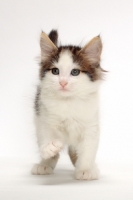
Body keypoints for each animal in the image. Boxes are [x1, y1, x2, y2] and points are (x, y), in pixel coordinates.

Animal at [31, 30, 104, 181]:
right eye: (55, 71)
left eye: (75, 72)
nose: (63, 82)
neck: (67, 102)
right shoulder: (44, 118)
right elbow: (45, 138)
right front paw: (50, 149)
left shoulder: (90, 126)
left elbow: (88, 150)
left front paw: (85, 169)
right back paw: (44, 165)